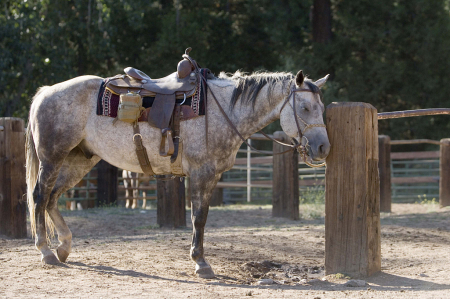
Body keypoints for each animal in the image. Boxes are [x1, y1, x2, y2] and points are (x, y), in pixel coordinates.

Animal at [27, 69, 330, 278]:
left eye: (322, 108)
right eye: (305, 108)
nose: (323, 147)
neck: (225, 110)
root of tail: (45, 92)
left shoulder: (211, 176)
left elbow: (202, 217)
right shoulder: (201, 174)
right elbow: (199, 218)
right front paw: (201, 263)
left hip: (79, 160)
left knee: (53, 197)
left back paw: (64, 247)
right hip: (52, 158)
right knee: (40, 196)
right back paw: (45, 251)